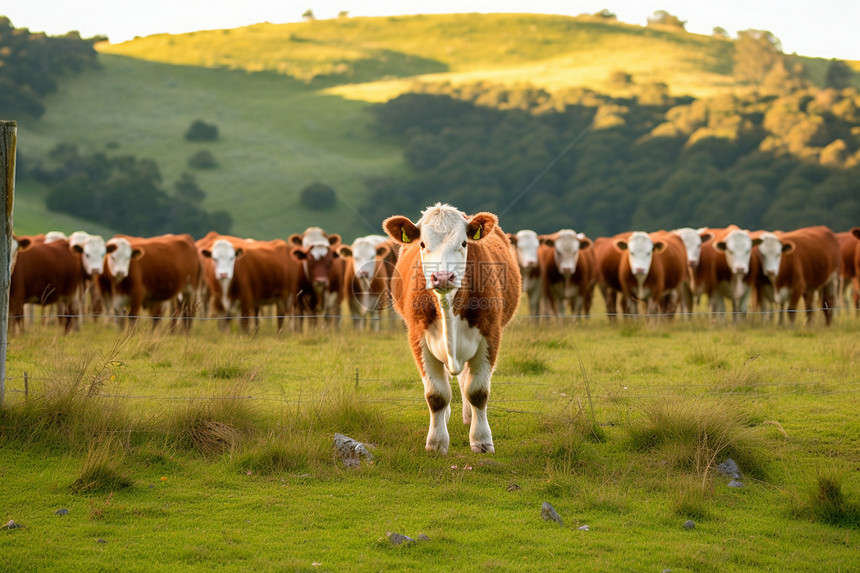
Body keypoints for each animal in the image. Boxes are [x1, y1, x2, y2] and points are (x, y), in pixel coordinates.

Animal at [384, 203, 520, 454]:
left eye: (464, 243)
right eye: (422, 244)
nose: (443, 276)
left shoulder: (490, 335)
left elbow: (477, 391)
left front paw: (481, 439)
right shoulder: (418, 338)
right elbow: (436, 395)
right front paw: (436, 442)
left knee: (465, 380)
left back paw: (469, 416)